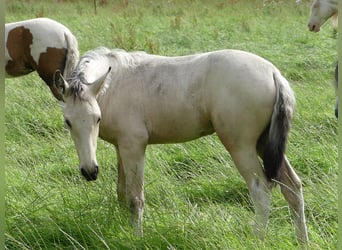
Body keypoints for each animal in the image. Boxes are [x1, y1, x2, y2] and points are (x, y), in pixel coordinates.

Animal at [52, 47, 308, 244]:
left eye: (97, 118)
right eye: (68, 122)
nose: (90, 171)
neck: (116, 82)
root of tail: (274, 73)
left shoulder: (134, 146)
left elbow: (135, 198)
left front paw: (136, 238)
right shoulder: (121, 147)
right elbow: (122, 193)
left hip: (241, 147)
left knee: (261, 190)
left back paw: (257, 239)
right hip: (265, 144)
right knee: (292, 186)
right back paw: (302, 241)